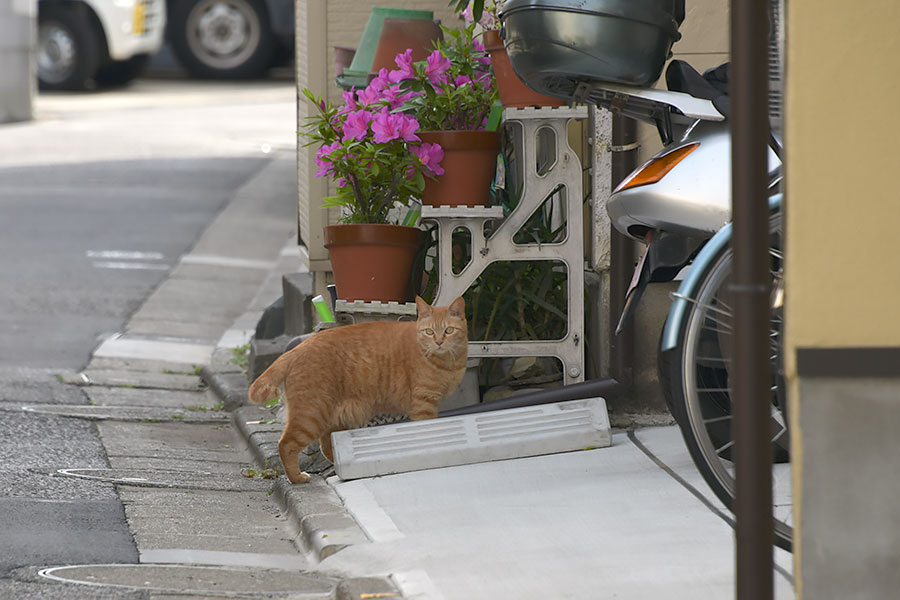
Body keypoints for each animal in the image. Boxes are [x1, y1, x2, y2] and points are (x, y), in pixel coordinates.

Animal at [248, 296, 468, 482]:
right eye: (429, 331)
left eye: (448, 330)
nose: (439, 342)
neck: (447, 361)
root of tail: (296, 349)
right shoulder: (424, 404)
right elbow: (427, 432)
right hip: (310, 416)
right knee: (286, 444)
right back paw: (297, 478)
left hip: (332, 416)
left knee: (326, 445)